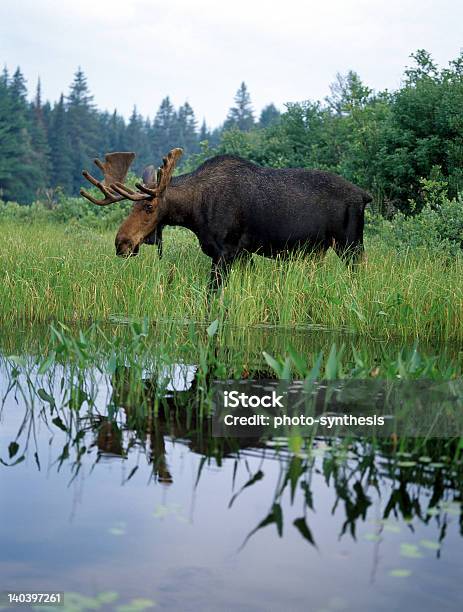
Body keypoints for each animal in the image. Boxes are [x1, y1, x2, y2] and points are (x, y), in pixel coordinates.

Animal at [79, 150, 370, 290]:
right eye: (132, 206)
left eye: (149, 206)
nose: (122, 243)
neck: (194, 213)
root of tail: (365, 196)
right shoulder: (242, 254)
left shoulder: (225, 252)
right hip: (323, 250)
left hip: (351, 245)